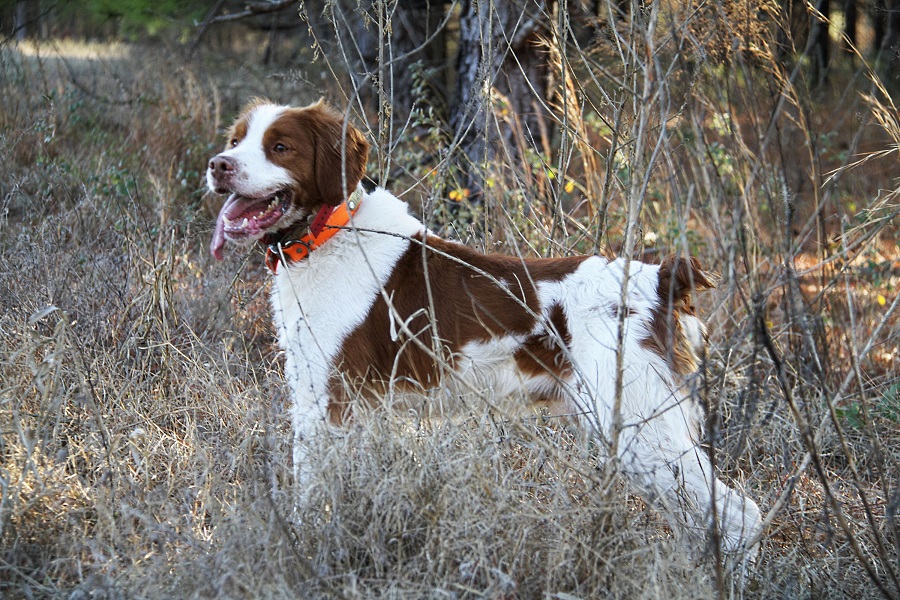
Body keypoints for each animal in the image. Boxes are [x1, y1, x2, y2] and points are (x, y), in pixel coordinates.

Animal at [207, 99, 764, 556]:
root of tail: (661, 279)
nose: (219, 165)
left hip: (639, 429)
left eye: (280, 147)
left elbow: (310, 502)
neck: (331, 234)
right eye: (236, 140)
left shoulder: (327, 403)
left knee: (740, 517)